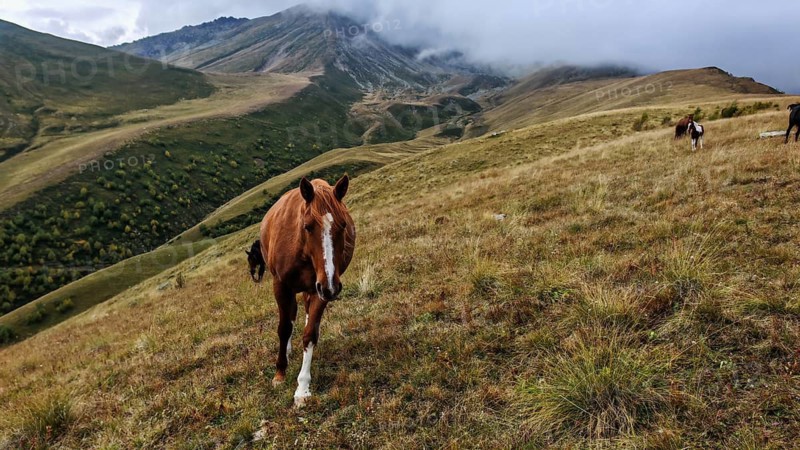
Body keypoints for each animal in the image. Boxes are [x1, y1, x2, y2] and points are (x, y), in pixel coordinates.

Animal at [259, 176, 355, 407]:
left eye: (343, 225)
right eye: (308, 226)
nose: (331, 287)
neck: (302, 250)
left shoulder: (321, 288)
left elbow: (310, 333)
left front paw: (302, 388)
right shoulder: (281, 285)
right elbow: (284, 328)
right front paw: (279, 373)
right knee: (290, 317)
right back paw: (287, 350)